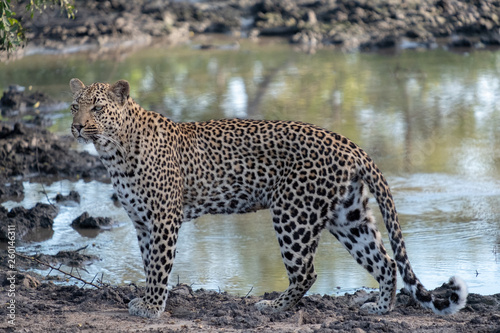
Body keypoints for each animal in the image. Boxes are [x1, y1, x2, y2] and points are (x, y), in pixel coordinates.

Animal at [68, 78, 466, 320]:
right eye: (75, 106)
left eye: (98, 108)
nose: (76, 126)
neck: (114, 151)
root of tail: (349, 143)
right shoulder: (141, 221)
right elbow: (150, 262)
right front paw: (147, 302)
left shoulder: (164, 217)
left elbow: (159, 266)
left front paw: (151, 308)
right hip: (348, 217)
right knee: (385, 262)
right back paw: (380, 309)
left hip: (294, 214)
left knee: (307, 271)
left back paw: (274, 307)